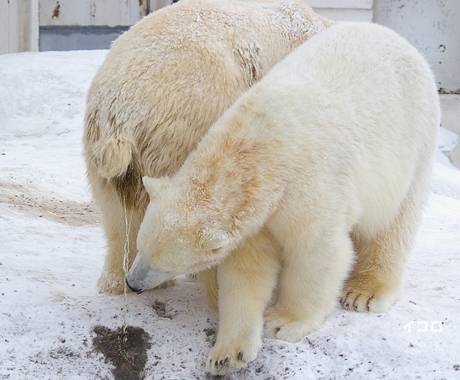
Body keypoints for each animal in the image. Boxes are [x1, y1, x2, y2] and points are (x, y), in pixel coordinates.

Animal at [125, 22, 438, 372]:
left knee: (394, 221)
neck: (254, 150)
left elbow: (316, 252)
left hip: (413, 140)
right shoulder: (254, 216)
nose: (132, 283)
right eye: (140, 248)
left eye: (164, 265)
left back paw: (366, 292)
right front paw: (228, 353)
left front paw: (283, 321)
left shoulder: (308, 186)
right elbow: (247, 270)